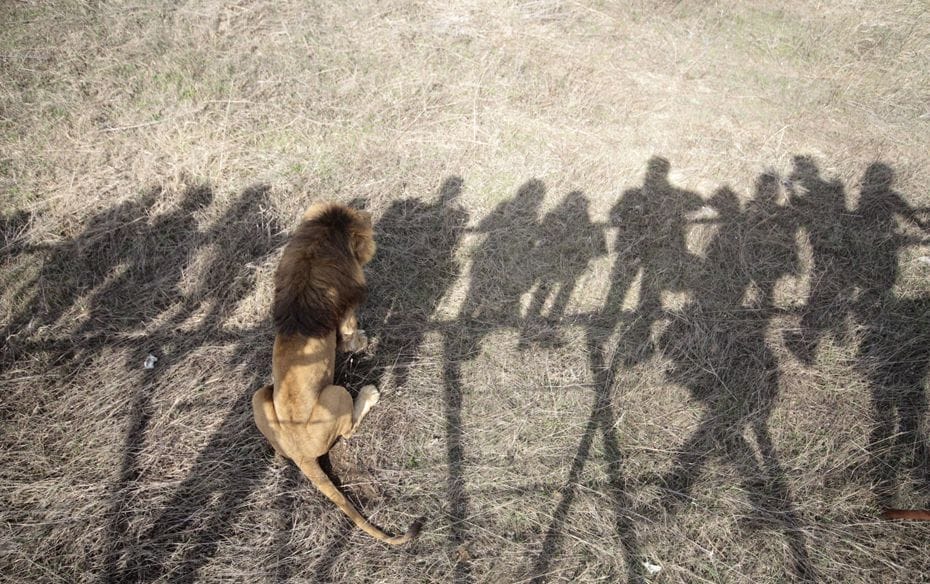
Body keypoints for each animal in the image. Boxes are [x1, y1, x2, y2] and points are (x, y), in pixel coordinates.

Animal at [248, 201, 418, 544]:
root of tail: (301, 454)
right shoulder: (347, 318)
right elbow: (354, 338)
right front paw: (364, 341)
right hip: (335, 393)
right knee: (349, 429)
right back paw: (369, 393)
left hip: (259, 396)